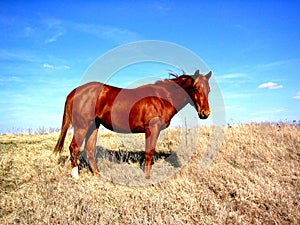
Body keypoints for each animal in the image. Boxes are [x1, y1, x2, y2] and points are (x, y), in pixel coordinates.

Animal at [52, 69, 211, 179]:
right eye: (195, 88)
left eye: (208, 90)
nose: (205, 113)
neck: (162, 98)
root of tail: (74, 92)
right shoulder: (152, 129)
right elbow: (149, 152)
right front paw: (147, 177)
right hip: (82, 127)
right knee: (74, 148)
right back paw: (76, 176)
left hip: (93, 126)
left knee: (89, 150)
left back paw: (98, 175)